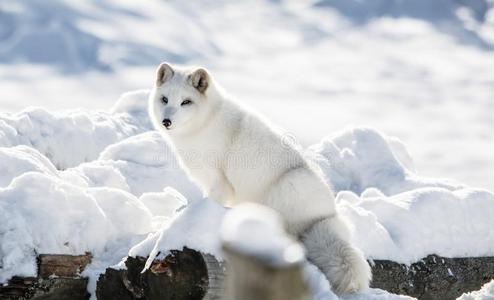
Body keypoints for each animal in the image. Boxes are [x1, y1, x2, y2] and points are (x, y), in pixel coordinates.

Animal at [149, 62, 372, 294]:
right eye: (164, 99)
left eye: (186, 102)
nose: (166, 121)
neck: (205, 123)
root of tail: (327, 215)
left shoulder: (220, 182)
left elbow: (207, 202)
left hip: (287, 186)